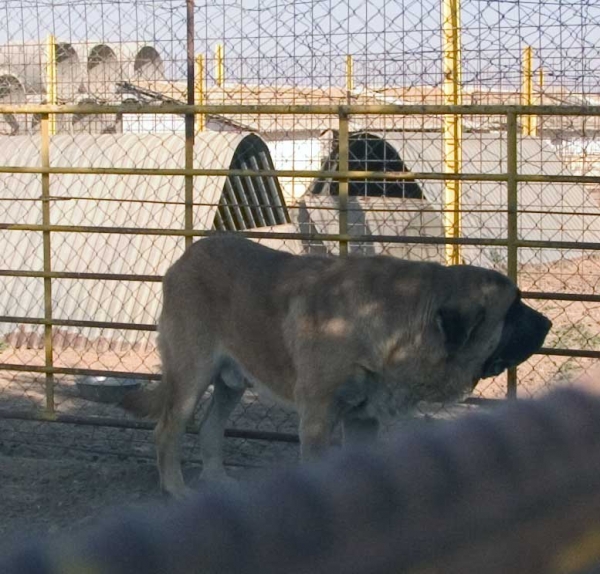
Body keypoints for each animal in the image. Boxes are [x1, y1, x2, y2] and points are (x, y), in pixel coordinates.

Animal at [123, 236, 552, 498]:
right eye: (514, 309)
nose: (548, 324)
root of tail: (186, 257)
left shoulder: (362, 420)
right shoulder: (317, 416)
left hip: (232, 382)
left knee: (211, 428)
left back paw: (219, 484)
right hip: (191, 378)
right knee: (167, 431)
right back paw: (176, 490)